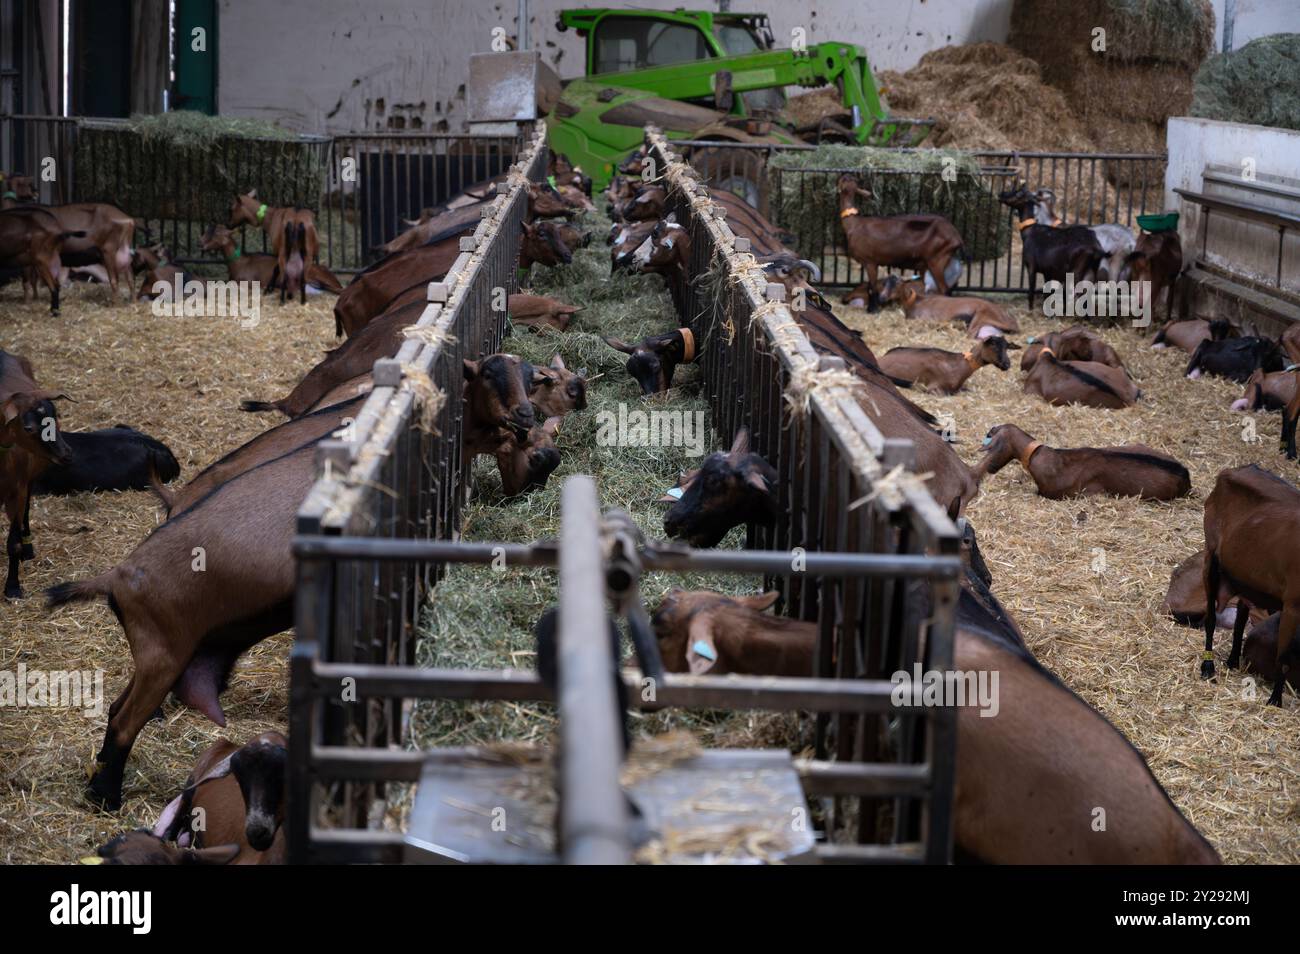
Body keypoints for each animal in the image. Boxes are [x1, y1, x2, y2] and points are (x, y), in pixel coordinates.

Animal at [1196, 467, 1300, 707]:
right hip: (1210, 559)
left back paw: (1233, 660)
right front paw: (1275, 700)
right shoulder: (1293, 606)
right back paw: (1208, 668)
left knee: (1240, 619)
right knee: (1211, 619)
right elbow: (1283, 657)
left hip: (1244, 578)